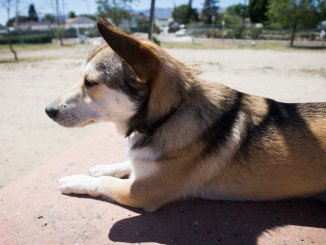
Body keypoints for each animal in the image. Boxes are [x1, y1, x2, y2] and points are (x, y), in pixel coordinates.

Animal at [45, 17, 326, 212]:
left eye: (90, 83)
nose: (48, 110)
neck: (169, 114)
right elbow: (126, 162)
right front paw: (102, 167)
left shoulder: (141, 191)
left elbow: (104, 183)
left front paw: (74, 180)